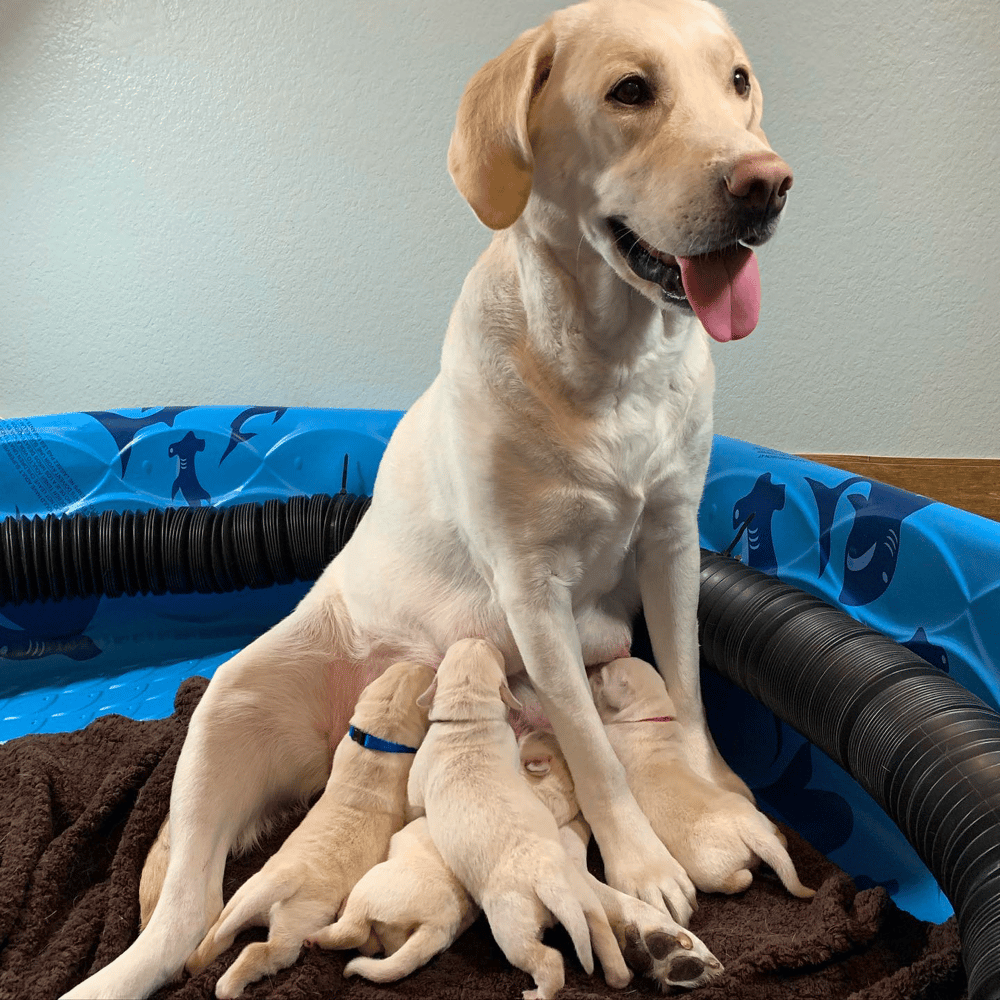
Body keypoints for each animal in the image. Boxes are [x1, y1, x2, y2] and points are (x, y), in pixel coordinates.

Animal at [186, 660, 436, 996]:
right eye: (425, 676)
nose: (423, 662)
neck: (375, 740)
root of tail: (285, 879)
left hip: (244, 893)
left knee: (220, 931)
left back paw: (197, 962)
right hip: (294, 927)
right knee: (261, 952)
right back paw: (229, 987)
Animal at [408, 636, 628, 996]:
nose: (478, 637)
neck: (470, 721)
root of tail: (548, 880)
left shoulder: (418, 777)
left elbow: (412, 800)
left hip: (511, 923)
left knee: (547, 960)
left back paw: (538, 992)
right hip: (582, 895)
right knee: (597, 925)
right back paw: (617, 974)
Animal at [588, 660, 816, 904]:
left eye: (601, 677)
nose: (589, 670)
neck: (651, 718)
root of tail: (751, 830)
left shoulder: (613, 735)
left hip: (709, 868)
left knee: (739, 879)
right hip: (759, 821)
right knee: (779, 839)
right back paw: (779, 837)